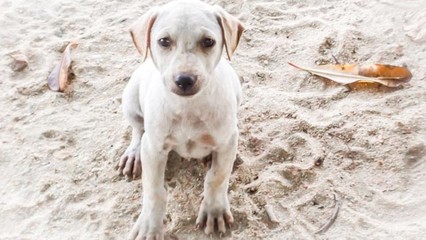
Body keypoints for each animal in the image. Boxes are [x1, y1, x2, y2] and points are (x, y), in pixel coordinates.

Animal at [119, 0, 243, 239]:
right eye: (164, 41)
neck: (188, 108)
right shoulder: (154, 148)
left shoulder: (228, 141)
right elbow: (154, 190)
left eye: (208, 42)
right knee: (138, 129)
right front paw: (150, 225)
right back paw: (134, 153)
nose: (184, 80)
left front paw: (214, 210)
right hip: (130, 99)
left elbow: (217, 177)